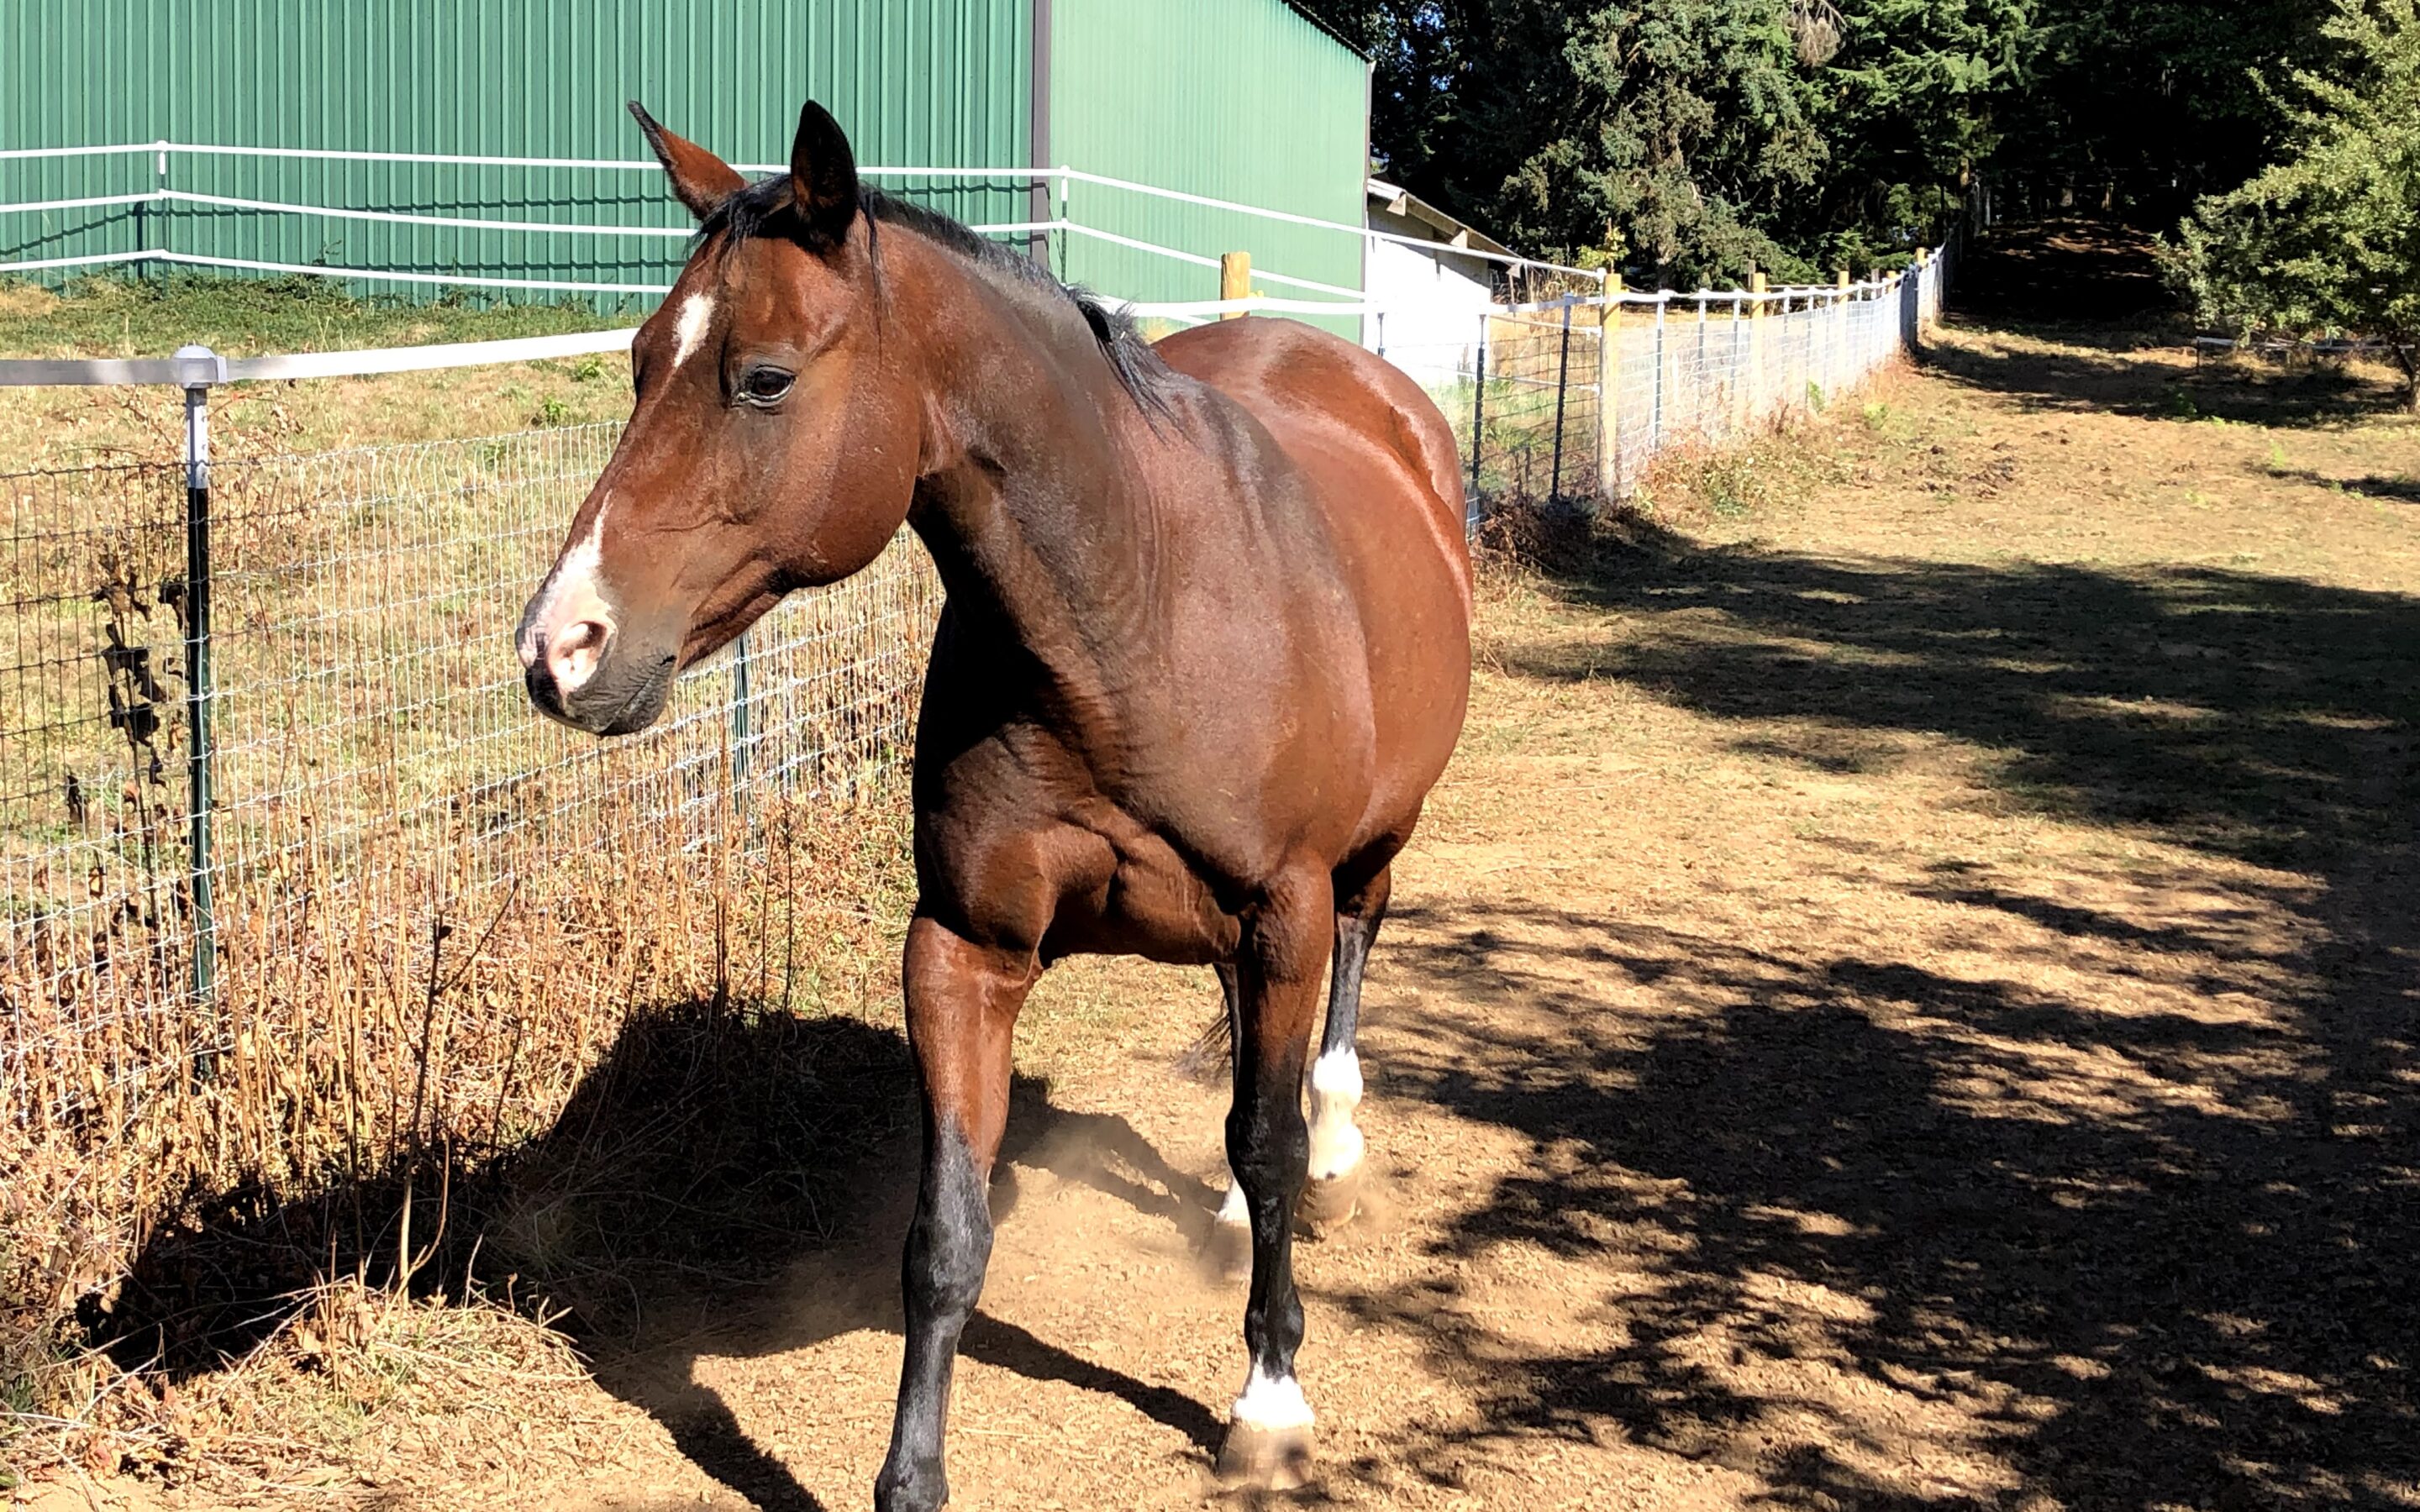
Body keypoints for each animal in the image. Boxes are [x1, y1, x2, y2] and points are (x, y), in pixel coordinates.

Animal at [518, 100, 1461, 1499]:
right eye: (638, 363)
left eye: (765, 377)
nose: (561, 648)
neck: (1138, 606)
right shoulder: (963, 948)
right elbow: (947, 1233)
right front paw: (909, 1478)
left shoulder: (1283, 908)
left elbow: (1270, 1139)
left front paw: (1271, 1395)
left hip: (1365, 853)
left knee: (1348, 969)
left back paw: (1331, 1143)